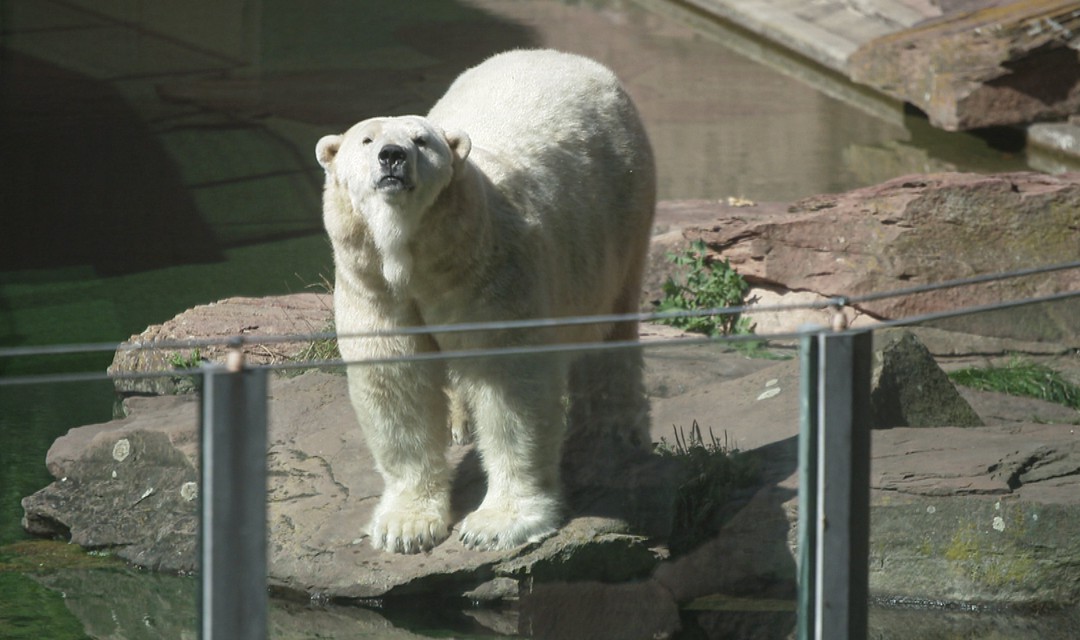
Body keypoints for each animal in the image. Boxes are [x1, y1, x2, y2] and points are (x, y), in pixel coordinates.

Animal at [315, 49, 652, 552]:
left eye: (421, 140)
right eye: (366, 139)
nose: (392, 156)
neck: (415, 256)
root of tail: (568, 57)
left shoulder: (492, 271)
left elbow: (509, 387)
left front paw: (496, 525)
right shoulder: (373, 284)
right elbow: (397, 380)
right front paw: (405, 527)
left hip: (621, 211)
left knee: (611, 328)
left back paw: (616, 427)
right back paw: (461, 422)